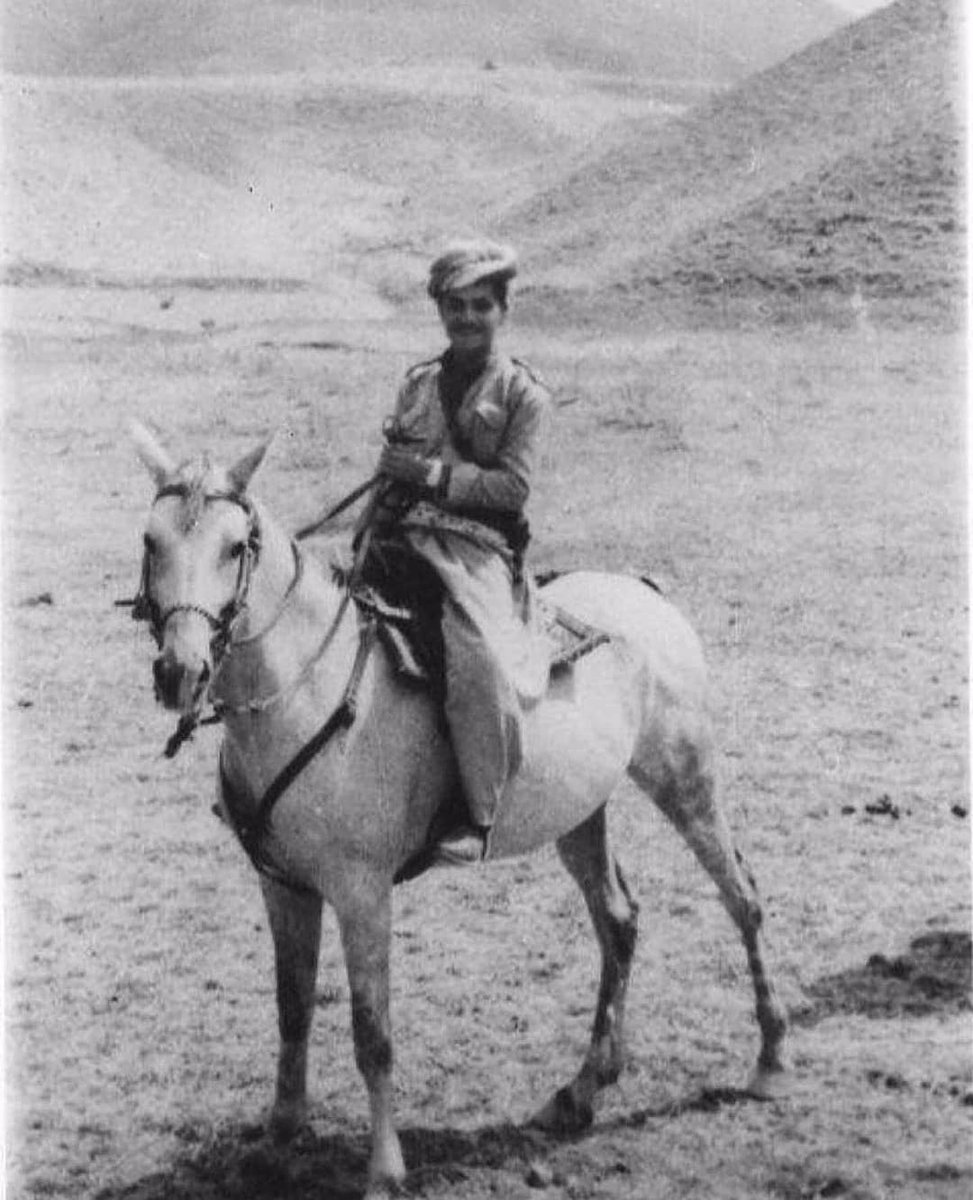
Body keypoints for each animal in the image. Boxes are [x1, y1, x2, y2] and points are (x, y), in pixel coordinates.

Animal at [129, 424, 787, 1200]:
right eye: (151, 539)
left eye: (235, 547)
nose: (180, 672)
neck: (306, 688)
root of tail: (642, 591)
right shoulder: (282, 885)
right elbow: (292, 1008)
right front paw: (280, 1134)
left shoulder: (361, 892)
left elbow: (372, 1031)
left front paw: (384, 1169)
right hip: (580, 812)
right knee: (619, 921)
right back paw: (581, 1089)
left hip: (685, 779)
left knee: (741, 898)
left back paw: (769, 1059)